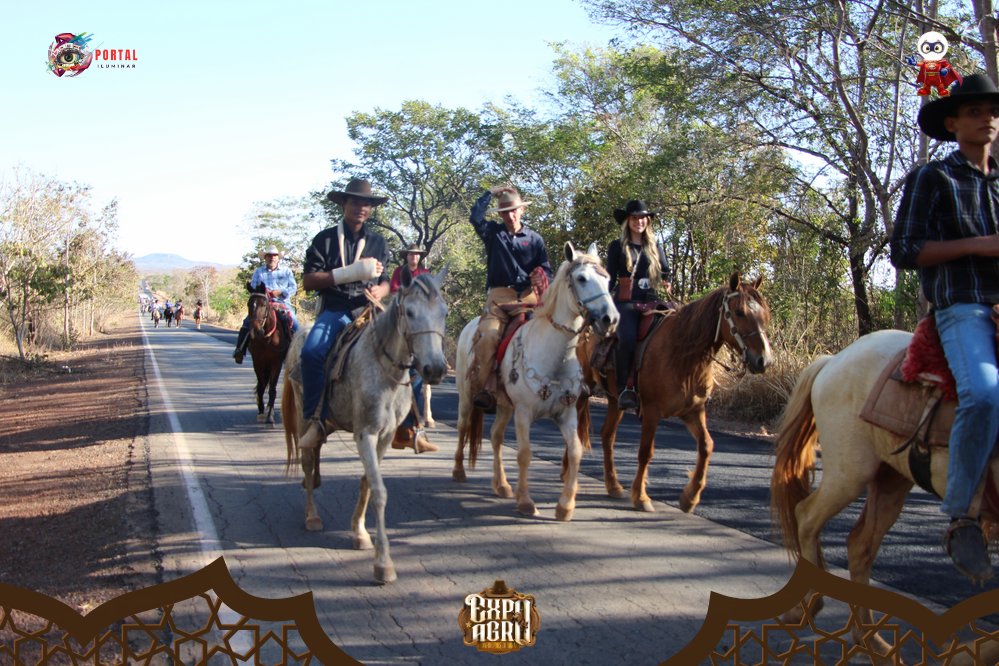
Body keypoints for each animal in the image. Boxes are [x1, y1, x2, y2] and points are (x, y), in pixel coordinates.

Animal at [246, 283, 290, 425]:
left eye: (264, 305)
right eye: (249, 304)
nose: (255, 331)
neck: (266, 338)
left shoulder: (276, 363)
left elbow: (272, 389)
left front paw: (269, 414)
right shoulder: (257, 362)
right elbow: (260, 386)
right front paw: (261, 412)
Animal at [281, 267, 448, 584]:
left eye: (444, 313)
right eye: (410, 312)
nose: (435, 369)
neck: (385, 369)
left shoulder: (384, 436)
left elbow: (368, 484)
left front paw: (359, 533)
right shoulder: (365, 434)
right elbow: (380, 491)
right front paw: (384, 563)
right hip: (302, 415)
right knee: (307, 461)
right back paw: (312, 516)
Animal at [453, 242, 619, 520]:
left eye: (606, 279)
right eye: (581, 278)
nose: (610, 319)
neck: (555, 355)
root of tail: (470, 327)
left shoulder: (566, 413)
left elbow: (575, 451)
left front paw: (565, 506)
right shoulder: (523, 412)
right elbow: (524, 454)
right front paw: (526, 502)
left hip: (503, 405)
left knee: (496, 437)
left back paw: (502, 485)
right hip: (467, 397)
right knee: (463, 427)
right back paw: (459, 472)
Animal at [574, 273, 773, 513]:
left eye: (765, 314)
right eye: (739, 312)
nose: (763, 360)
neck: (683, 354)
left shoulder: (693, 411)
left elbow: (706, 446)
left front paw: (690, 498)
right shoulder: (651, 411)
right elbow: (645, 452)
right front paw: (641, 497)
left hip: (614, 399)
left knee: (607, 435)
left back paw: (613, 485)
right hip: (581, 391)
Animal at [770, 329, 999, 659]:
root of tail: (833, 360)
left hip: (891, 480)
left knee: (859, 545)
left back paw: (872, 641)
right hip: (849, 474)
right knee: (807, 516)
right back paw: (811, 606)